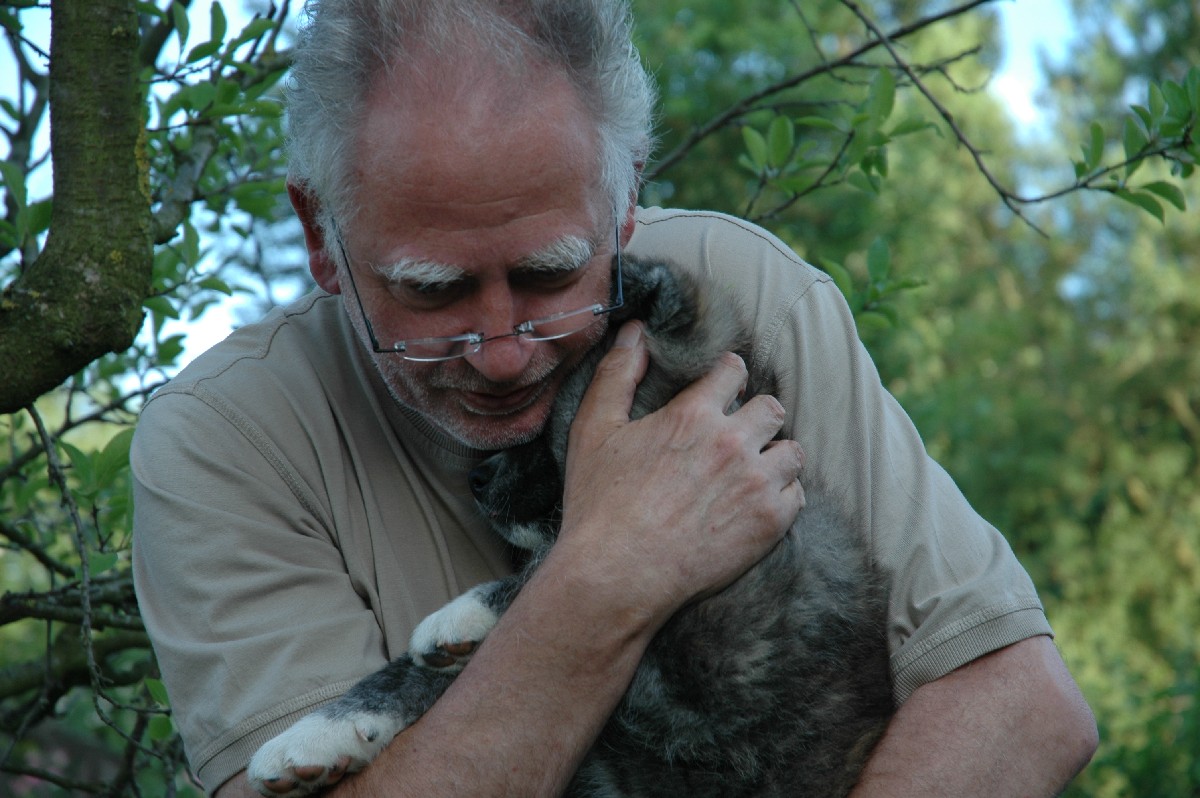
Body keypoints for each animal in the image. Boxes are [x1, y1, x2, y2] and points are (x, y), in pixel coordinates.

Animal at [249, 256, 895, 797]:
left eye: (545, 424)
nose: (476, 479)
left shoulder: (689, 651)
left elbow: (548, 575)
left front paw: (463, 615)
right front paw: (317, 736)